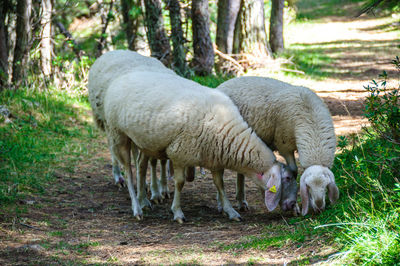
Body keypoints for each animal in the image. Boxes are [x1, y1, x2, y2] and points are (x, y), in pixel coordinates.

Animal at [101, 66, 284, 222]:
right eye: (282, 181)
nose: (284, 208)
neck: (226, 130)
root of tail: (122, 78)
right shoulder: (179, 153)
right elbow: (180, 183)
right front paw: (177, 212)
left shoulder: (214, 158)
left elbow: (220, 184)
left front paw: (230, 211)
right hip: (118, 134)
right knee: (128, 171)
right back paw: (137, 208)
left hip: (145, 141)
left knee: (140, 166)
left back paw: (144, 201)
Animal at [217, 76, 340, 216]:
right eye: (308, 187)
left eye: (326, 186)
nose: (319, 208)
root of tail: (225, 83)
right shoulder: (284, 145)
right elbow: (294, 170)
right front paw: (295, 207)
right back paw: (221, 205)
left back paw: (241, 201)